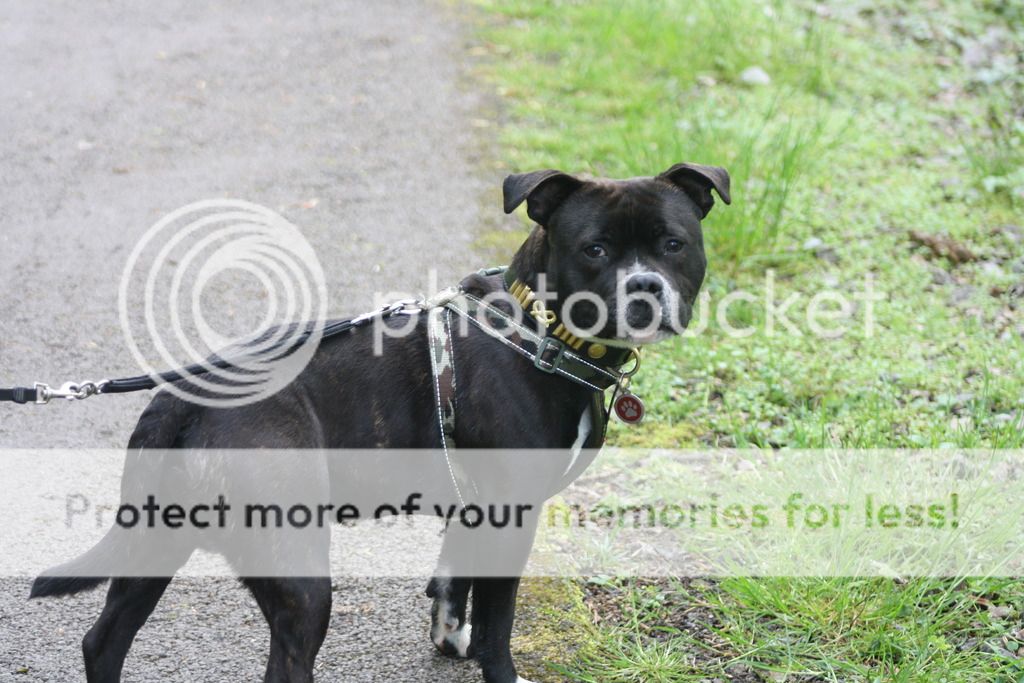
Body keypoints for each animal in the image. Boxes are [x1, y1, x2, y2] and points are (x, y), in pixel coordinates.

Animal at [29, 163, 729, 683]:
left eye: (673, 243)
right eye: (595, 249)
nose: (644, 287)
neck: (540, 331)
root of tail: (185, 396)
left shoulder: (471, 509)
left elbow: (452, 580)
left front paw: (449, 639)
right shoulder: (510, 516)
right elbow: (498, 627)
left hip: (153, 545)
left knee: (103, 640)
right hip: (298, 574)